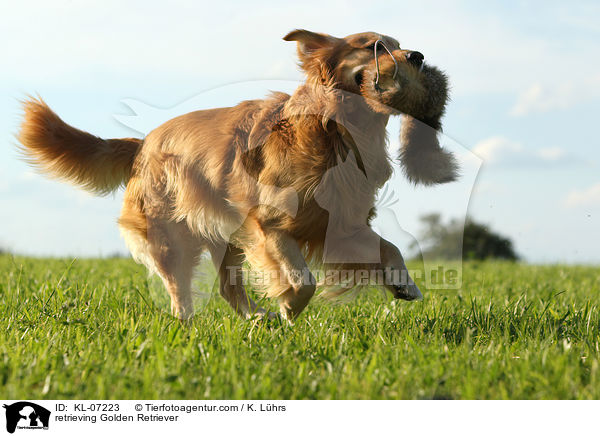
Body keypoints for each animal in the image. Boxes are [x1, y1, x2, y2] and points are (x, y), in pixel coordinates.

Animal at [19, 30, 460, 322]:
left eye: (397, 42)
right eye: (373, 45)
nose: (418, 56)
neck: (331, 132)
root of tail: (143, 143)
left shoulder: (342, 225)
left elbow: (389, 247)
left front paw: (404, 283)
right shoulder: (268, 224)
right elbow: (303, 280)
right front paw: (289, 306)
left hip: (228, 236)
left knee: (227, 287)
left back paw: (254, 319)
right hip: (174, 236)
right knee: (179, 288)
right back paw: (189, 324)